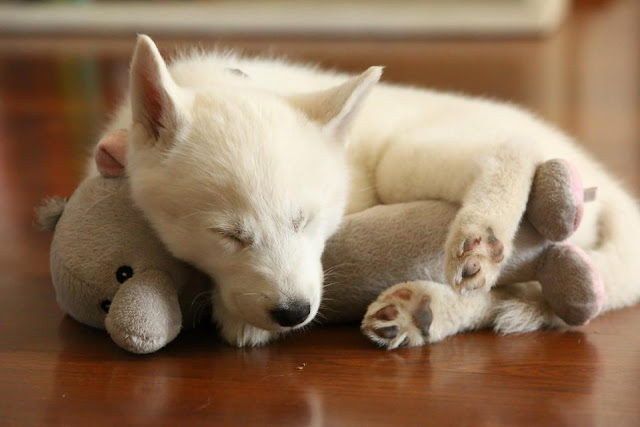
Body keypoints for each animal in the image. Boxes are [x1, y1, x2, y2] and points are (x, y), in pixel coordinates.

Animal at [92, 36, 640, 348]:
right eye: (228, 235)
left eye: (306, 220)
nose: (294, 313)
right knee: (521, 293)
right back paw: (425, 312)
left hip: (408, 156)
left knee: (510, 152)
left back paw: (480, 240)